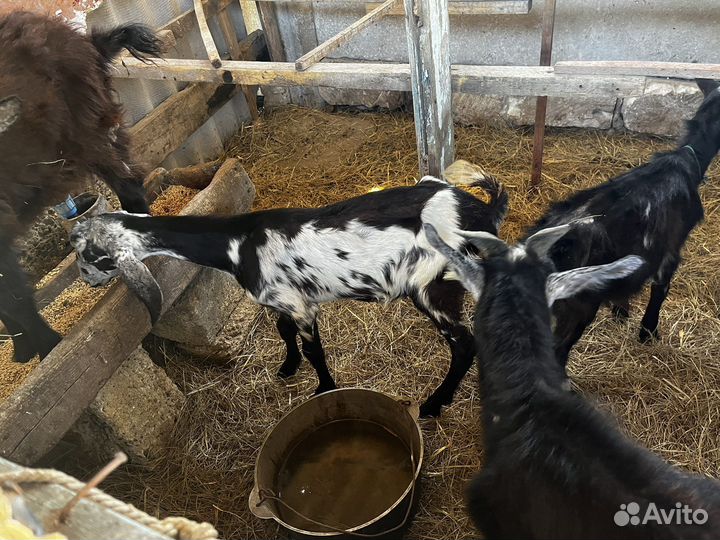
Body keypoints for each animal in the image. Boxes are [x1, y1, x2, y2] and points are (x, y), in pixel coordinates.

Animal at [0, 12, 161, 362]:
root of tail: (85, 40)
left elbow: (13, 299)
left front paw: (47, 349)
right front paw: (23, 352)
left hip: (91, 130)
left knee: (129, 184)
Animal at [69, 173, 508, 417]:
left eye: (89, 255)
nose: (87, 282)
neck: (237, 243)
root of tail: (483, 212)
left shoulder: (301, 307)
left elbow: (315, 351)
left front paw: (325, 389)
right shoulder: (286, 299)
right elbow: (283, 332)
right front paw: (286, 367)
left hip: (433, 284)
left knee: (464, 344)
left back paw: (434, 405)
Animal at [525, 79, 720, 367]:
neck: (688, 159)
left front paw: (621, 310)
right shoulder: (671, 250)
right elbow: (660, 290)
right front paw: (648, 332)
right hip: (578, 306)